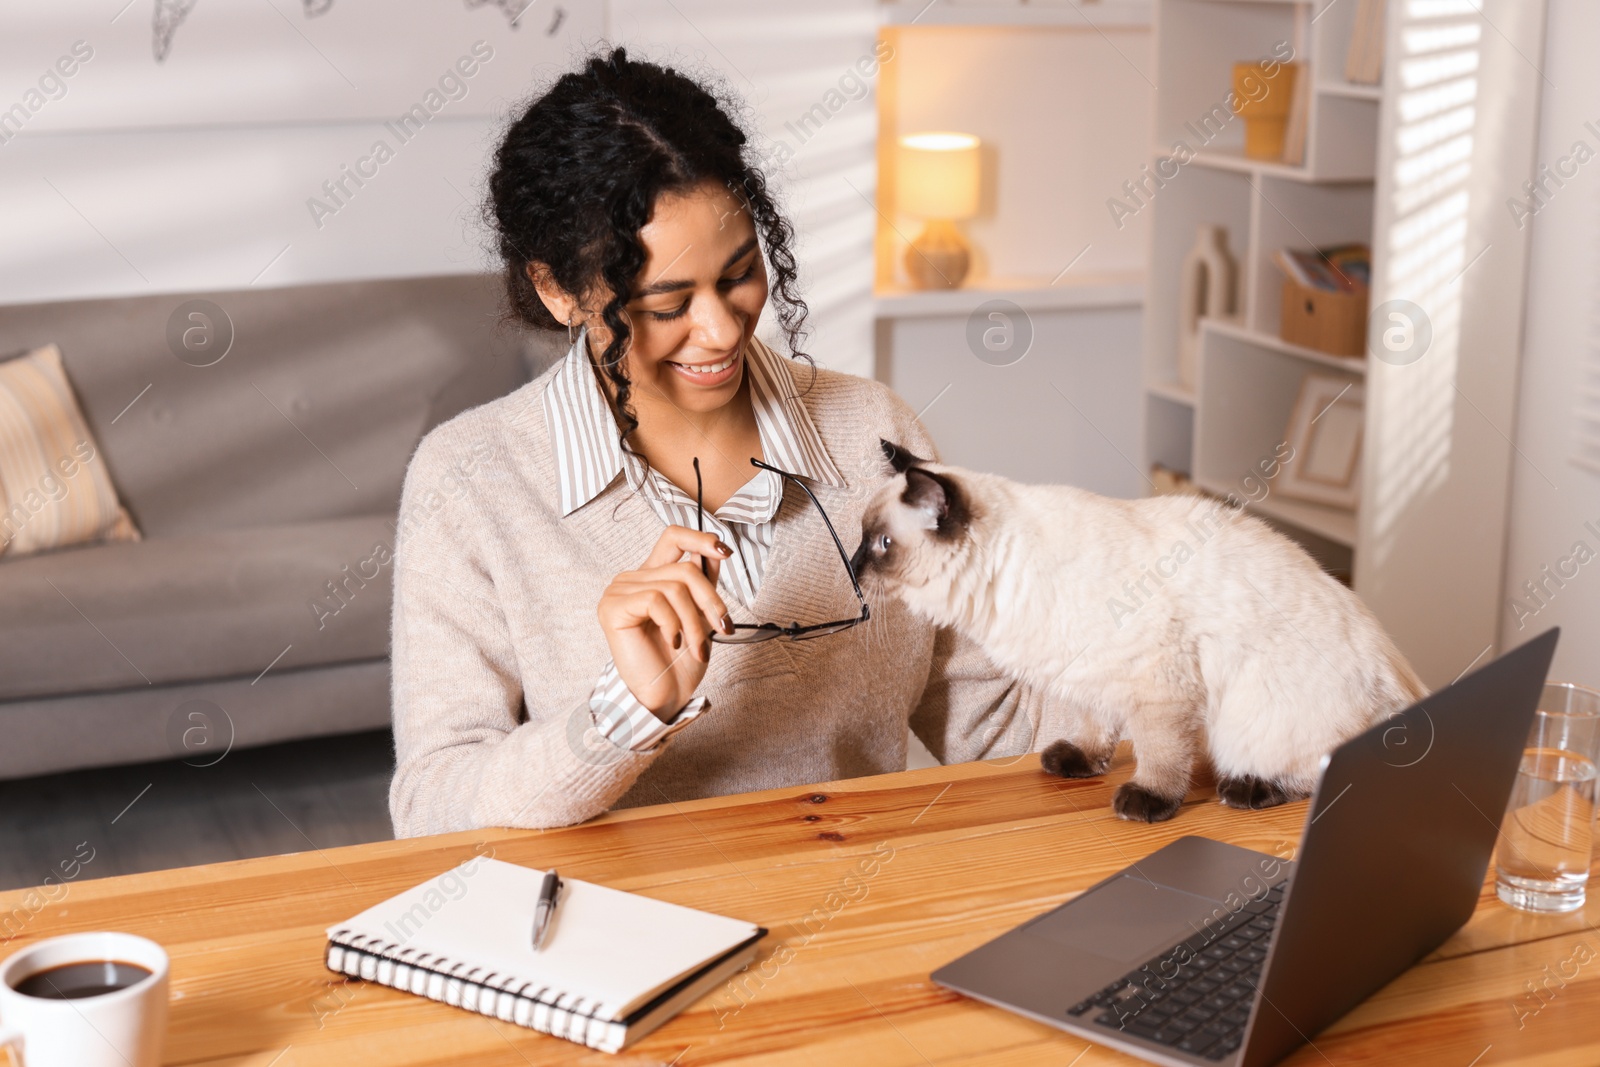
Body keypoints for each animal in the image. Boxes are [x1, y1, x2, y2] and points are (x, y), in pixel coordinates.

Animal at [851, 438, 1427, 825]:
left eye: (881, 545)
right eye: (860, 540)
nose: (852, 568)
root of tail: (1406, 683)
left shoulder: (1158, 687)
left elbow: (1160, 755)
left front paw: (1148, 800)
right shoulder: (1086, 673)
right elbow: (1095, 728)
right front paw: (1079, 763)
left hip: (1259, 719)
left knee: (1318, 771)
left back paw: (1247, 788)